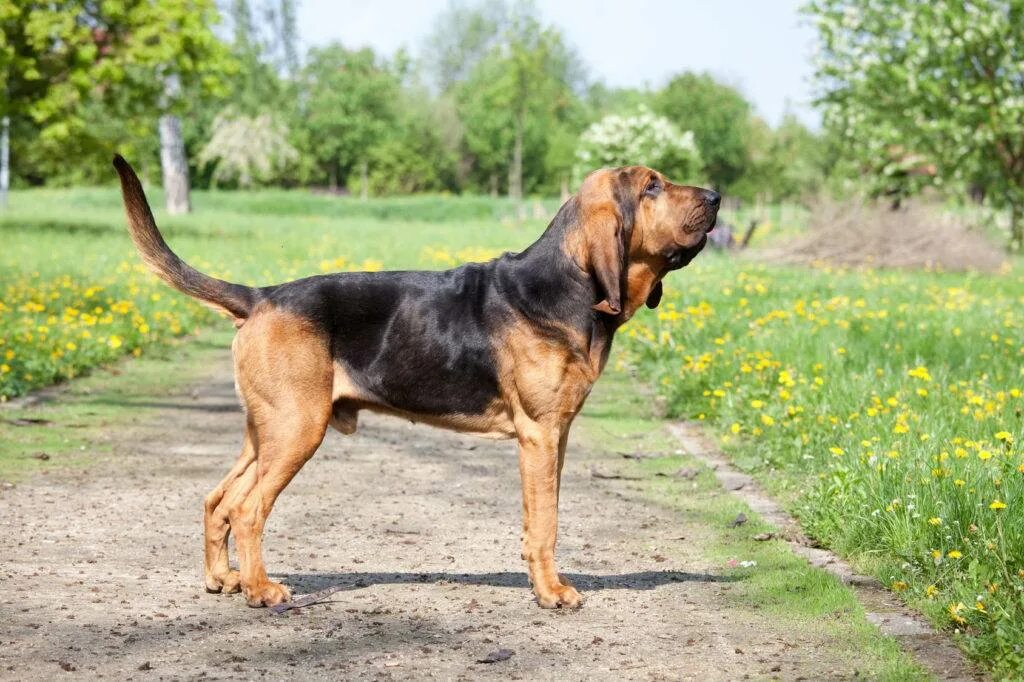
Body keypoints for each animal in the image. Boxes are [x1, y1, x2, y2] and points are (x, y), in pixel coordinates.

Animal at [112, 156, 720, 606]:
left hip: (266, 432)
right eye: (652, 186)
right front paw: (552, 593)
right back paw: (262, 590)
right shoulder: (540, 435)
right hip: (296, 430)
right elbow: (546, 523)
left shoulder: (556, 437)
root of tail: (261, 296)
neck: (567, 284)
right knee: (247, 509)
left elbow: (538, 519)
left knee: (217, 499)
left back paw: (223, 579)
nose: (716, 196)